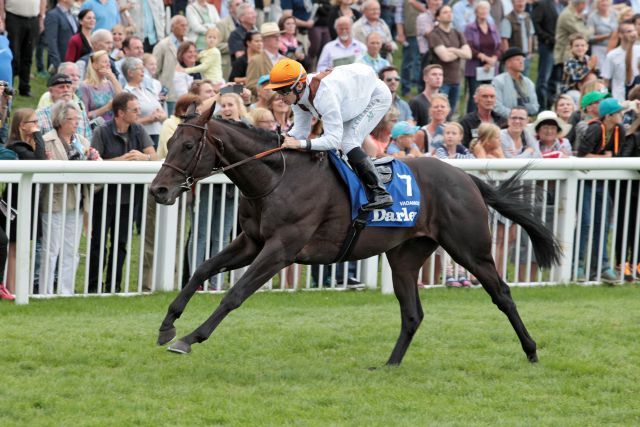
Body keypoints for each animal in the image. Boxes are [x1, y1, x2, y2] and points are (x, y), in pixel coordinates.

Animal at [150, 105, 560, 366]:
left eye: (188, 145)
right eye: (168, 143)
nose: (158, 190)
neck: (275, 178)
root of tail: (467, 178)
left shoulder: (281, 248)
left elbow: (234, 294)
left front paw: (189, 338)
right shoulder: (252, 242)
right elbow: (202, 269)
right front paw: (168, 325)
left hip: (470, 249)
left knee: (502, 293)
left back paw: (532, 350)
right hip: (405, 256)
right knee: (412, 313)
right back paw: (390, 364)